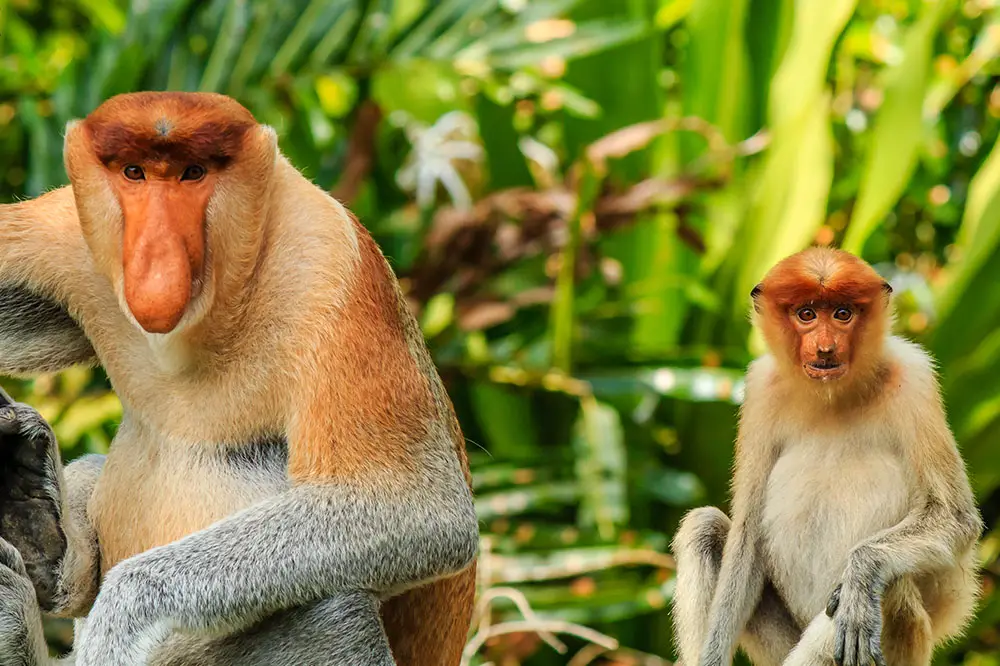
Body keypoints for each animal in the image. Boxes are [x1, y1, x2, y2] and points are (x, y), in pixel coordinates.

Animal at [0, 91, 480, 660]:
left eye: (194, 173)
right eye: (134, 173)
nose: (156, 260)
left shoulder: (328, 265)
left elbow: (422, 511)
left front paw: (119, 620)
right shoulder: (65, 232)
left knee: (337, 611)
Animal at [668, 248, 980, 664]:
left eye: (842, 313)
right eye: (807, 314)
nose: (825, 348)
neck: (833, 398)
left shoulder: (913, 378)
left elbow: (955, 518)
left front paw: (861, 575)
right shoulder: (761, 389)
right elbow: (746, 540)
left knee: (890, 583)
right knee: (703, 527)